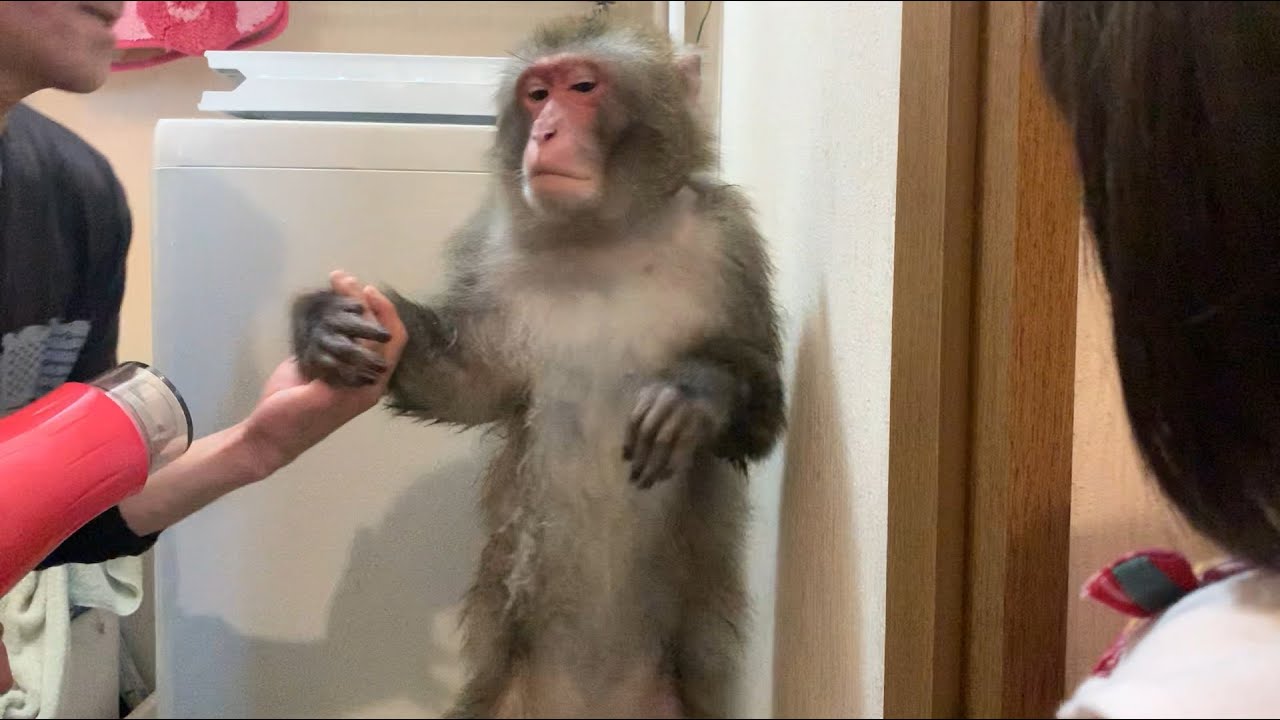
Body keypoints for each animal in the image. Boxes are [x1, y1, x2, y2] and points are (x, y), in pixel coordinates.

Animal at [290, 14, 785, 719]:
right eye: (536, 94)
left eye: (582, 87)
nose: (546, 132)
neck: (607, 235)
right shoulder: (490, 250)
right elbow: (468, 381)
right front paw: (332, 321)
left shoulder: (729, 239)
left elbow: (761, 412)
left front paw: (694, 395)